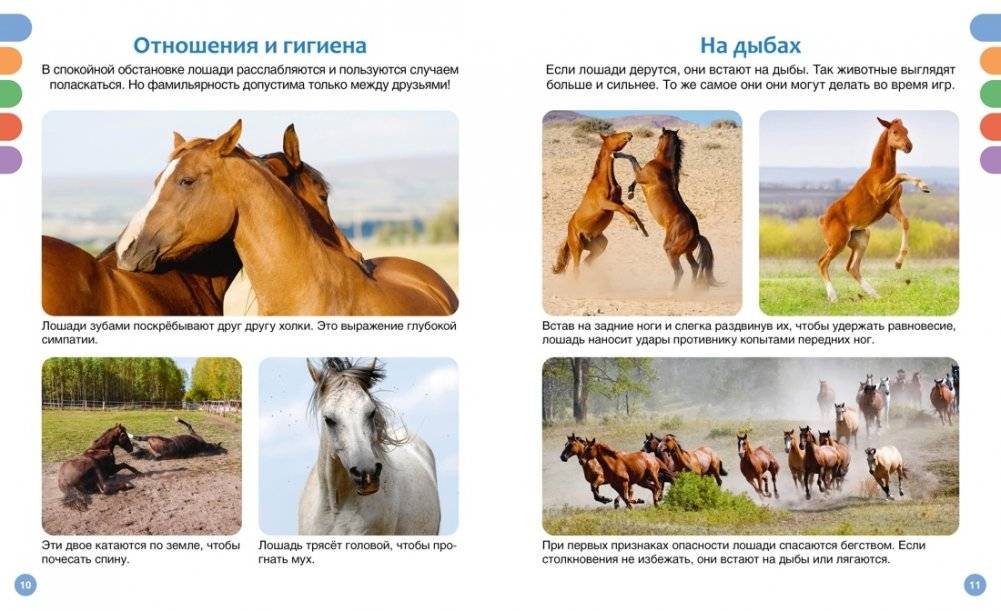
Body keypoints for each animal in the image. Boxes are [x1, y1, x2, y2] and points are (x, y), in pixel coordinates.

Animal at [552, 131, 648, 276]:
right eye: (613, 136)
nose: (629, 134)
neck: (605, 181)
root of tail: (568, 236)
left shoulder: (617, 200)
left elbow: (631, 211)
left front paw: (643, 230)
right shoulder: (606, 204)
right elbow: (621, 209)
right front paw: (633, 225)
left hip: (599, 246)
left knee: (587, 263)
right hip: (577, 249)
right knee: (576, 270)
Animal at [614, 128, 721, 289]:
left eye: (660, 137)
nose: (654, 152)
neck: (663, 165)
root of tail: (696, 234)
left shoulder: (641, 175)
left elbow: (632, 158)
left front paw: (615, 155)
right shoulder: (641, 176)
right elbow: (634, 172)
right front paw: (630, 192)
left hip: (671, 250)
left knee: (680, 271)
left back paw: (672, 291)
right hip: (687, 252)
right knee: (695, 266)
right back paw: (691, 289)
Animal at [817, 117, 931, 302]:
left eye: (907, 130)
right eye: (895, 131)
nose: (909, 146)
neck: (881, 172)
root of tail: (822, 220)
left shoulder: (892, 205)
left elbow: (905, 223)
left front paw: (898, 262)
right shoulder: (880, 195)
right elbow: (901, 175)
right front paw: (922, 185)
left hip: (861, 238)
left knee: (852, 267)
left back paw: (875, 294)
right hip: (838, 242)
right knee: (822, 262)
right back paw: (833, 297)